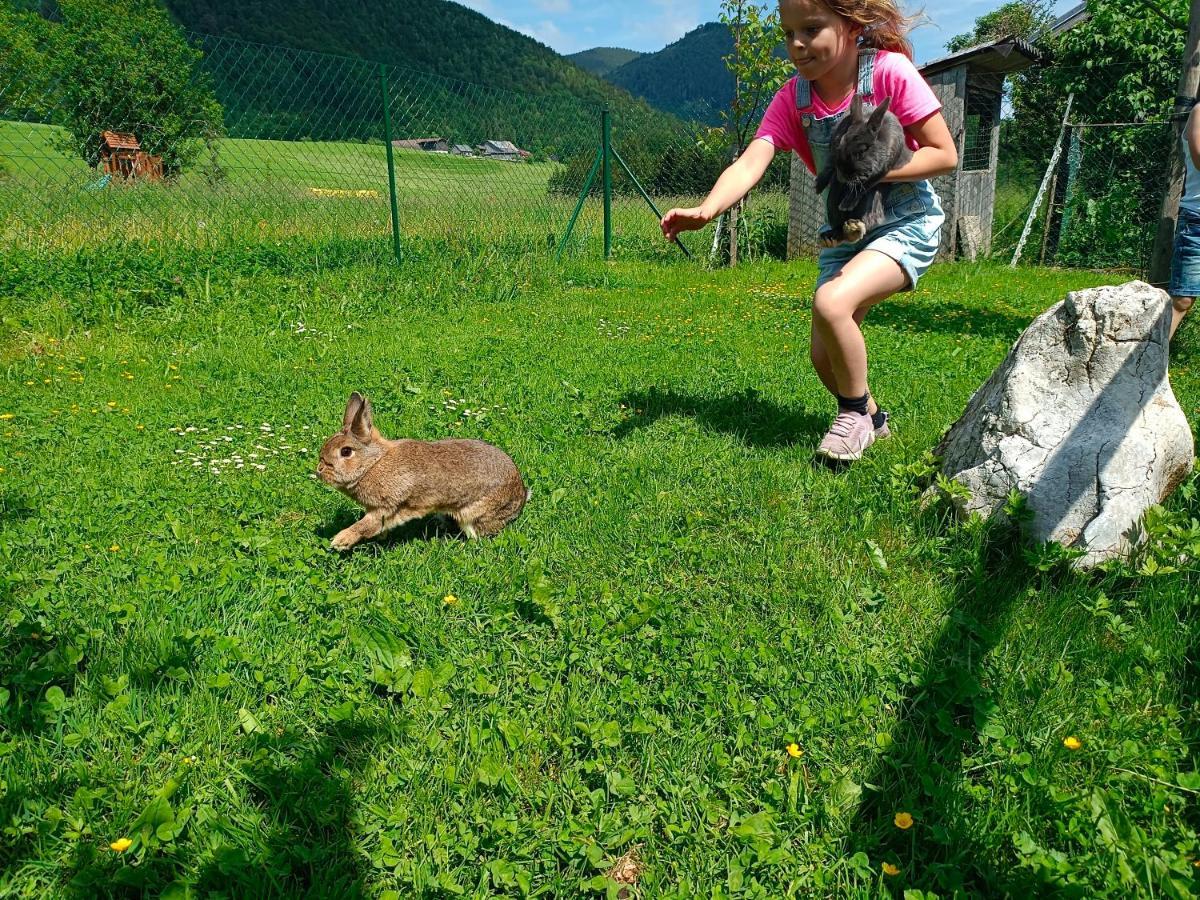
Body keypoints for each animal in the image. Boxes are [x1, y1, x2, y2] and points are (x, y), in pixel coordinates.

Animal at [316, 393, 528, 549]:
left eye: (346, 451)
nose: (319, 470)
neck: (373, 463)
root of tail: (521, 496)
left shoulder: (386, 507)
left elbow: (365, 526)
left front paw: (340, 541)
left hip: (473, 514)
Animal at [811, 97, 912, 244]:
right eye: (840, 144)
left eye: (862, 151)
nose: (842, 177)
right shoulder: (833, 153)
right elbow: (829, 165)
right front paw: (818, 186)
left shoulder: (882, 170)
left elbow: (864, 185)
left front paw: (846, 204)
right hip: (831, 204)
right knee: (838, 228)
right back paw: (831, 235)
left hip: (871, 205)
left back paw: (854, 228)